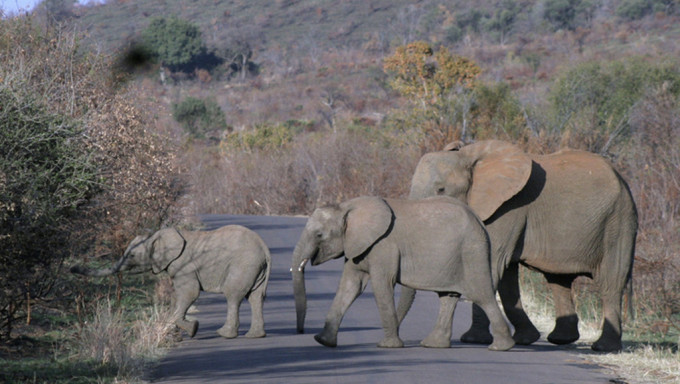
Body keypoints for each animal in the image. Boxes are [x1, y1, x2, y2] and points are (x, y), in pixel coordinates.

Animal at [69, 225, 270, 340]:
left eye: (132, 255)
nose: (72, 268)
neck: (156, 237)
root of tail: (264, 248)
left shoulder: (184, 266)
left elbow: (190, 293)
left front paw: (193, 329)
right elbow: (178, 296)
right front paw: (177, 334)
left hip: (243, 265)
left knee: (233, 296)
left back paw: (224, 334)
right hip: (255, 269)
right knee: (255, 297)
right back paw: (255, 336)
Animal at [292, 196, 516, 350]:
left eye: (319, 235)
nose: (301, 331)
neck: (346, 207)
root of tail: (479, 221)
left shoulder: (383, 246)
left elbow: (381, 285)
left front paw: (387, 346)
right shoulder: (357, 246)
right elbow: (350, 286)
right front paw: (323, 341)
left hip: (472, 252)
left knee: (481, 295)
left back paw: (501, 347)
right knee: (448, 297)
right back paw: (433, 344)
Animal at [404, 140, 636, 352]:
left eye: (440, 189)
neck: (467, 156)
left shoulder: (508, 208)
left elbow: (490, 267)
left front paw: (473, 340)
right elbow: (505, 277)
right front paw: (524, 339)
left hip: (618, 223)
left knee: (611, 283)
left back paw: (603, 348)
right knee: (558, 280)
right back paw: (561, 340)